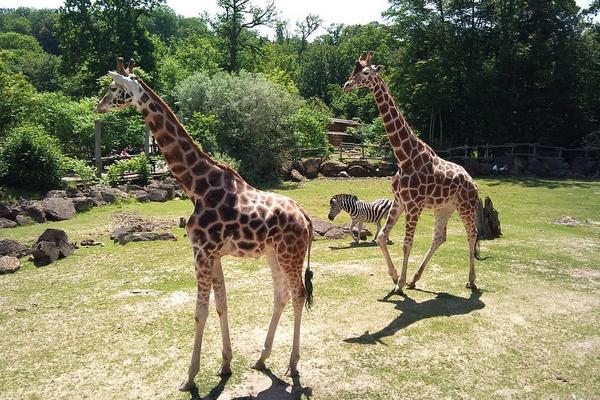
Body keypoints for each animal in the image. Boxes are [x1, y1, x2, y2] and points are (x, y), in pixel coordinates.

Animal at [96, 57, 314, 392]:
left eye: (113, 87)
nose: (98, 106)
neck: (196, 186)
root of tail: (305, 216)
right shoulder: (215, 254)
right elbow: (221, 304)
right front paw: (225, 364)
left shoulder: (201, 250)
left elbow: (200, 312)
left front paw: (189, 377)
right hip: (272, 253)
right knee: (282, 295)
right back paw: (262, 358)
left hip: (291, 254)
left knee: (299, 294)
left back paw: (292, 363)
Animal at [344, 50, 480, 294]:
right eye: (353, 70)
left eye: (366, 72)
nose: (346, 85)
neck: (405, 157)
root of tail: (474, 183)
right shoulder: (399, 201)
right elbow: (381, 237)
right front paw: (395, 276)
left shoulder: (414, 205)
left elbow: (407, 244)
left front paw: (399, 284)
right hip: (444, 208)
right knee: (439, 237)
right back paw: (415, 279)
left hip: (466, 206)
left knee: (471, 234)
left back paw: (471, 280)